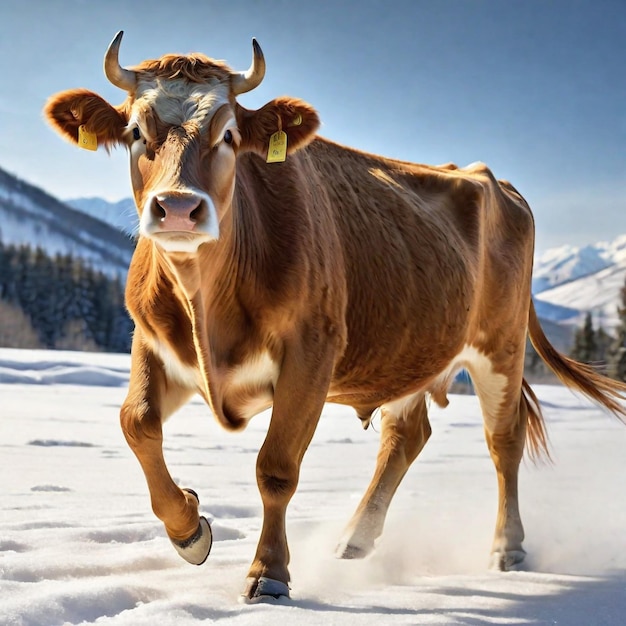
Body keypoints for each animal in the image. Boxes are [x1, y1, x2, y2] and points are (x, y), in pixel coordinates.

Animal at [44, 33, 624, 600]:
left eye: (229, 135)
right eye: (135, 131)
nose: (180, 208)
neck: (207, 303)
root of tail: (489, 178)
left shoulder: (312, 352)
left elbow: (276, 467)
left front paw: (270, 573)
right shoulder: (152, 341)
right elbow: (137, 423)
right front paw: (189, 529)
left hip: (500, 346)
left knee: (503, 441)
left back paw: (507, 548)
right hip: (414, 350)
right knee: (406, 436)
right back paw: (353, 540)